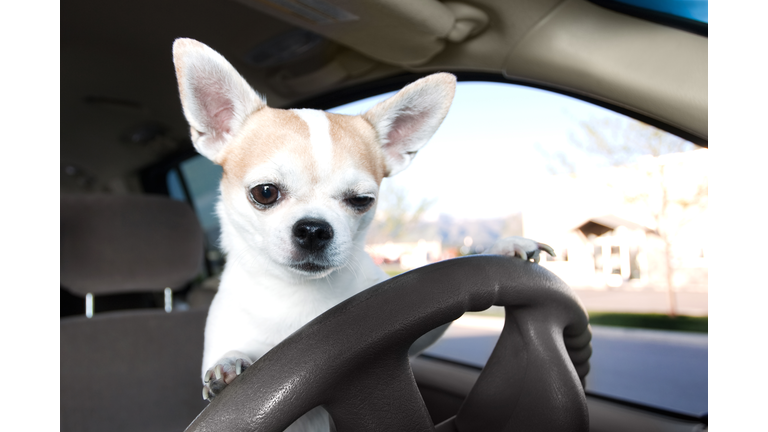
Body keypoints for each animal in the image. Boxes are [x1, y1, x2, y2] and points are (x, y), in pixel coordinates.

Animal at [174, 38, 552, 430]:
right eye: (264, 193)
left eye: (361, 200)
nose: (314, 229)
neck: (301, 291)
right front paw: (228, 363)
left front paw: (504, 245)